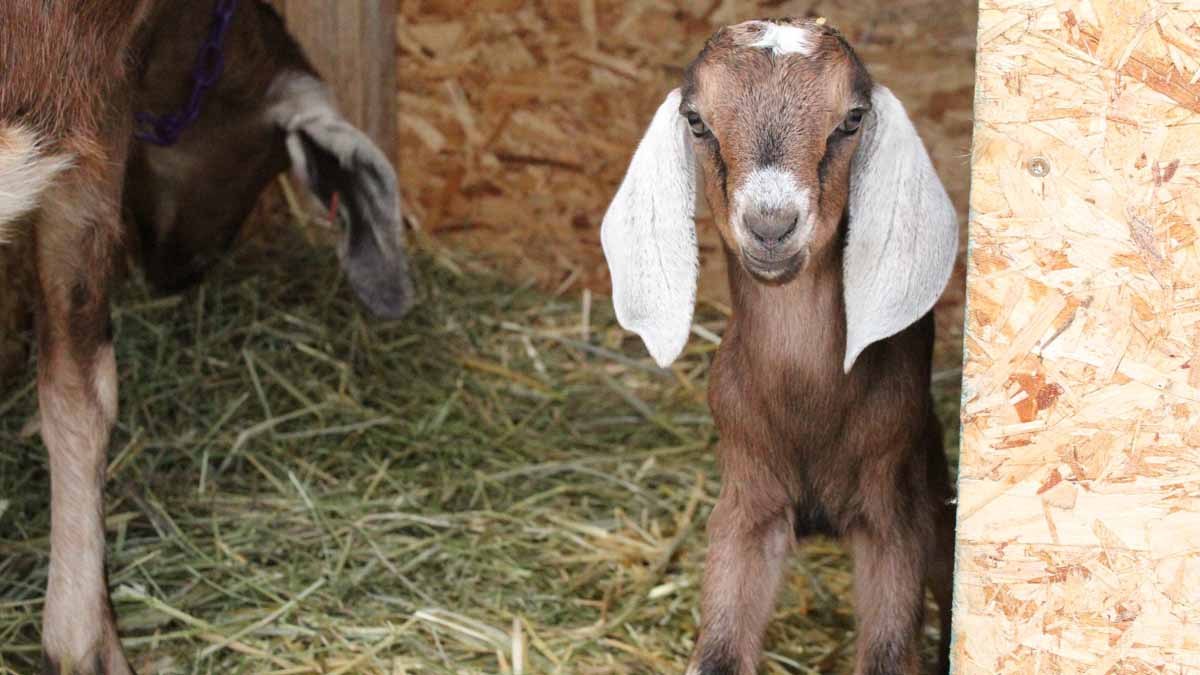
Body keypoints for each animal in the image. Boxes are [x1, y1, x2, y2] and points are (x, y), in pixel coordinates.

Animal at [604, 18, 960, 667]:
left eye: (852, 119)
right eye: (697, 120)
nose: (771, 226)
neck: (806, 405)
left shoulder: (892, 516)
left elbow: (890, 649)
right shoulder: (747, 505)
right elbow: (718, 652)